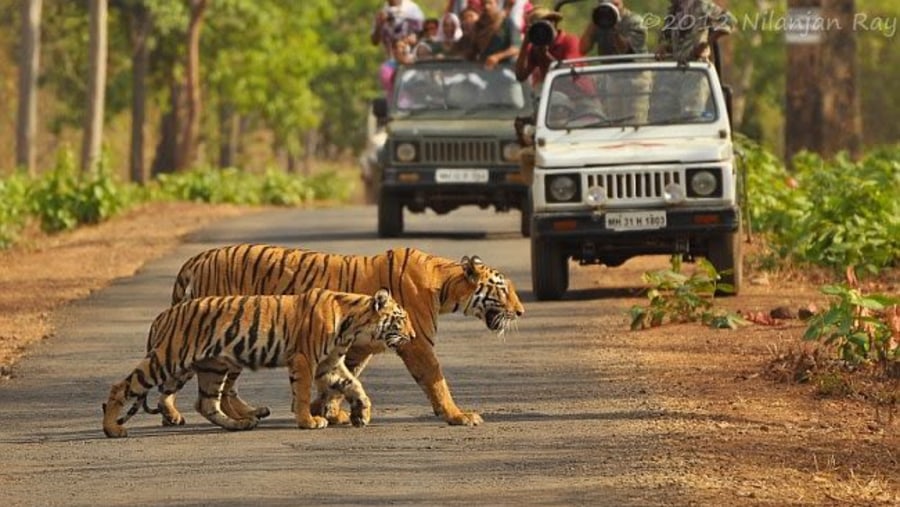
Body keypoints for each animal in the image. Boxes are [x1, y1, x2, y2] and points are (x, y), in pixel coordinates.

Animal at [103, 288, 414, 438]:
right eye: (400, 319)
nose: (412, 336)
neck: (353, 324)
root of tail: (163, 314)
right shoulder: (304, 359)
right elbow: (302, 394)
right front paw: (309, 421)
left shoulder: (329, 364)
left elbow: (354, 385)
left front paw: (362, 414)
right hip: (167, 359)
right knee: (121, 387)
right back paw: (112, 430)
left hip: (211, 367)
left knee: (205, 403)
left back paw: (241, 424)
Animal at [160, 244, 528, 426]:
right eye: (502, 289)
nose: (522, 311)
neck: (445, 285)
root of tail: (196, 259)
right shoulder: (416, 343)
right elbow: (436, 381)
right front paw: (457, 416)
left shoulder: (357, 347)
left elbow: (342, 378)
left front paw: (328, 411)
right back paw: (181, 415)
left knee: (222, 388)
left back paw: (247, 414)